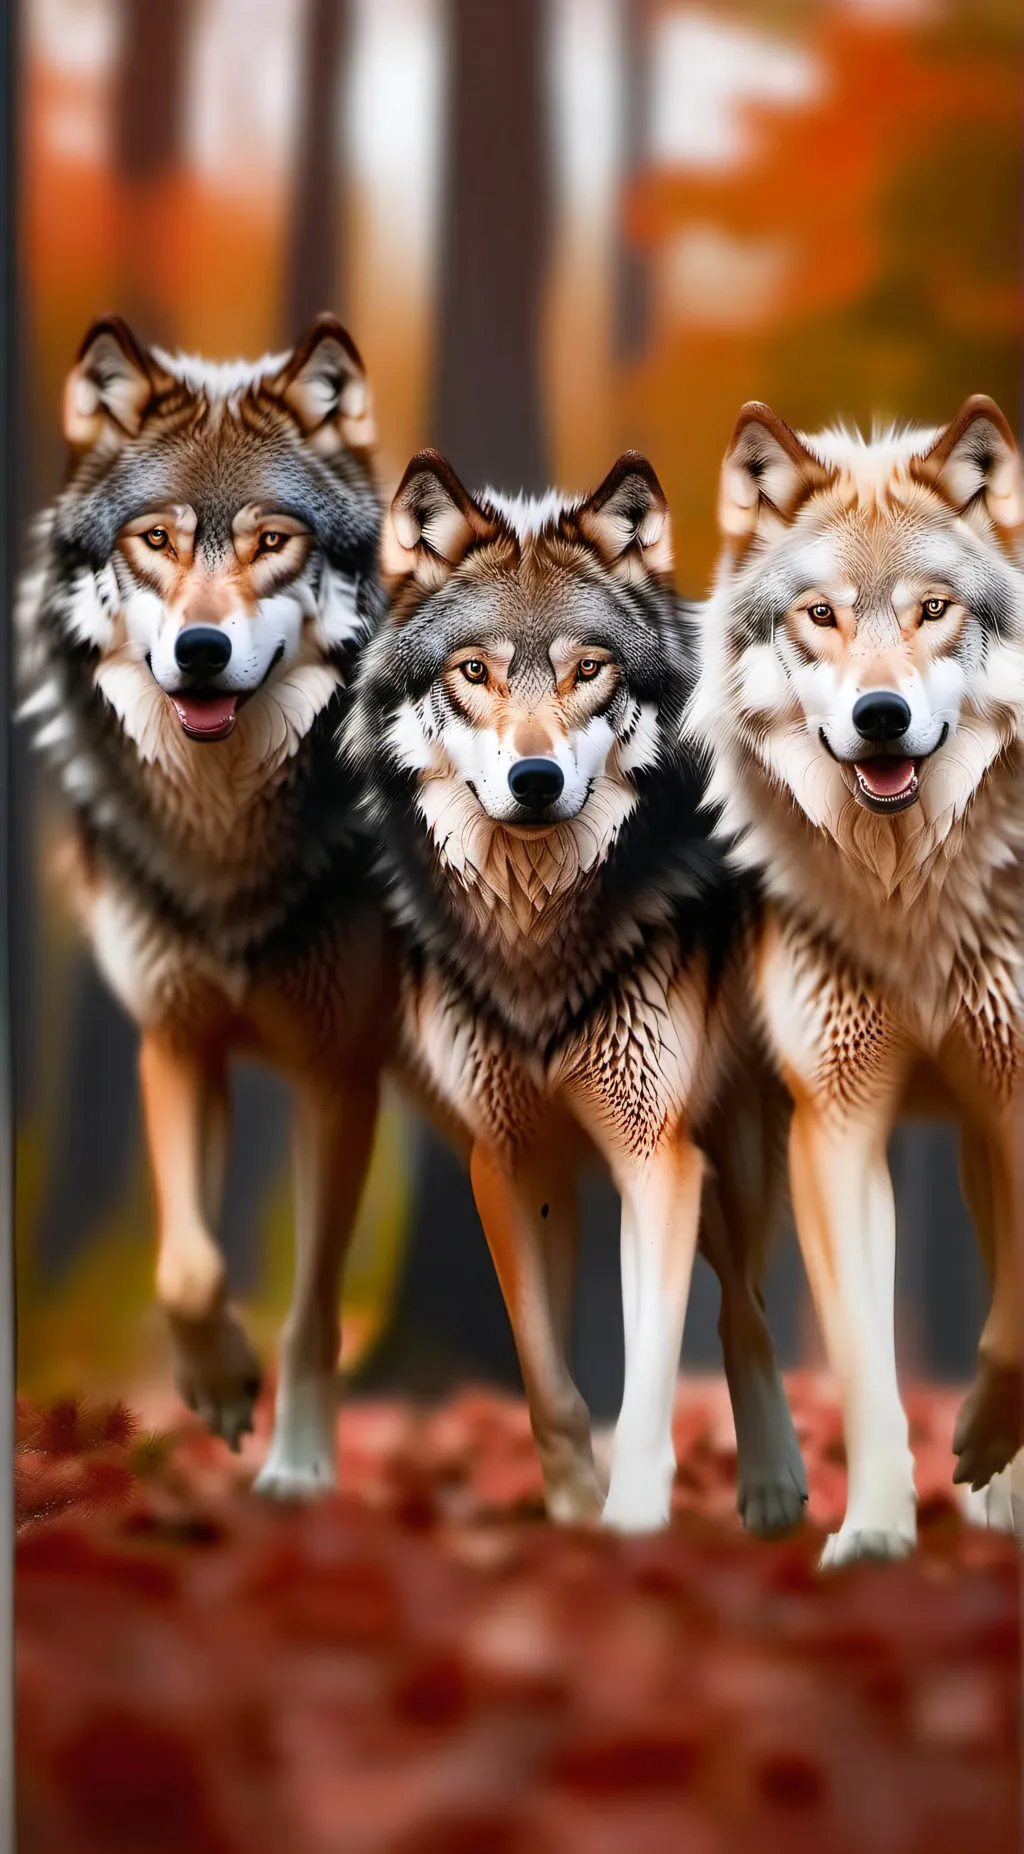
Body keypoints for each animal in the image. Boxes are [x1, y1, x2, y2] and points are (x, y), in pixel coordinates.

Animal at [18, 313, 393, 1498]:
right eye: (157, 540)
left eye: (273, 541)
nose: (200, 650)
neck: (224, 843)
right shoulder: (179, 1042)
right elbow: (187, 1266)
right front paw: (218, 1383)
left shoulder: (337, 1076)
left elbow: (313, 1314)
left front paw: (300, 1466)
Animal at [346, 447, 807, 1534]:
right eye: (474, 672)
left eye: (586, 669)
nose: (534, 779)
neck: (537, 943)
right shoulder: (508, 1161)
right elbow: (548, 1381)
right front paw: (574, 1509)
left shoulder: (656, 1157)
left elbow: (650, 1375)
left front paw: (631, 1519)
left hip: (728, 1157)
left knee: (746, 1311)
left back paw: (774, 1489)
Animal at [688, 394, 1024, 1563]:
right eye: (821, 617)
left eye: (932, 610)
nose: (881, 716)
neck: (907, 899)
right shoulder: (835, 1125)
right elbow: (866, 1367)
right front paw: (875, 1532)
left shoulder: (1008, 1101)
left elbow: (1012, 1316)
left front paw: (987, 1452)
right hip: (736, 1152)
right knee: (735, 1308)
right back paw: (770, 1492)